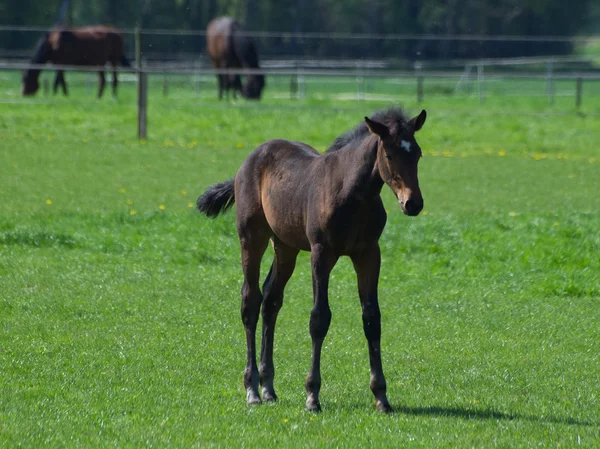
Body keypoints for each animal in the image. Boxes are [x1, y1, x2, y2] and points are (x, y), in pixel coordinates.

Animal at [197, 107, 426, 412]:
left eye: (418, 153)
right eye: (389, 154)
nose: (413, 204)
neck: (352, 195)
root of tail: (251, 158)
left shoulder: (368, 253)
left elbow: (372, 318)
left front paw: (381, 397)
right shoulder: (321, 253)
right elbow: (319, 318)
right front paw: (312, 395)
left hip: (285, 247)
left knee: (271, 299)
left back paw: (269, 388)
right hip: (252, 238)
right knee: (250, 301)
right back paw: (253, 389)